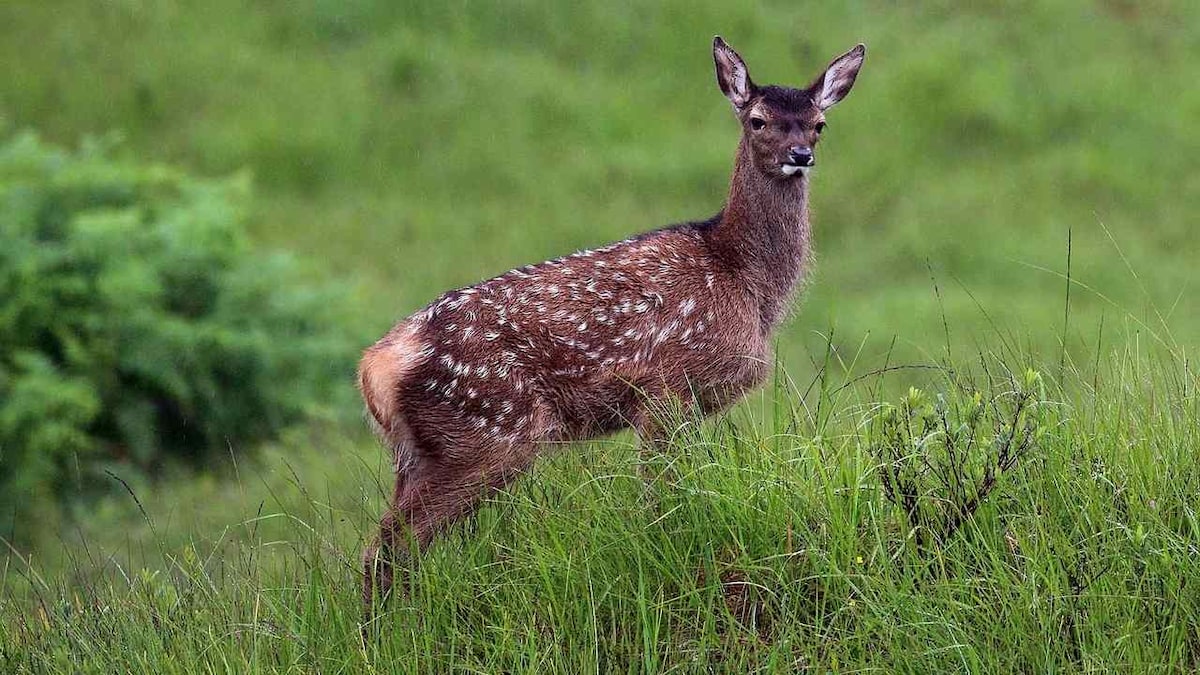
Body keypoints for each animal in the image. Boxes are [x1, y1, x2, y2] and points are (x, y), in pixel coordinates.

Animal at [355, 36, 864, 614]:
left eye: (819, 124)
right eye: (757, 120)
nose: (800, 156)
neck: (744, 281)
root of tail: (376, 366)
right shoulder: (667, 388)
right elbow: (660, 495)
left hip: (421, 451)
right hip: (487, 430)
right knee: (391, 545)